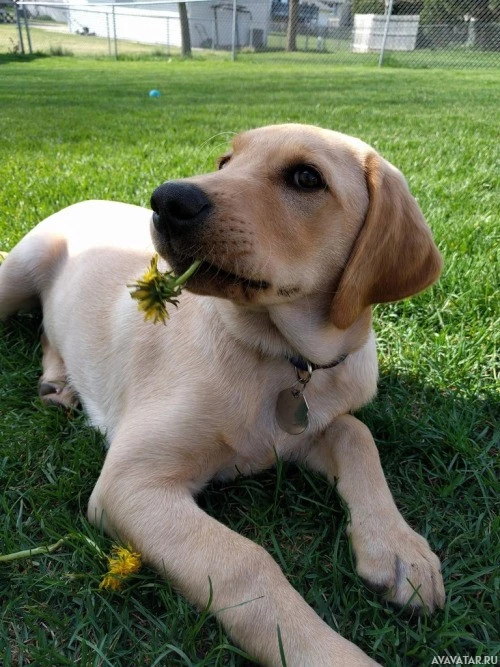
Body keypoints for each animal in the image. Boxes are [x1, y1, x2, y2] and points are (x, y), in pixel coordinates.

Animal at [0, 124, 444, 666]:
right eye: (224, 161)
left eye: (306, 178)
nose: (167, 199)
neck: (280, 356)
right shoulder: (129, 484)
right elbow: (244, 561)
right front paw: (325, 652)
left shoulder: (305, 427)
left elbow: (357, 435)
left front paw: (402, 550)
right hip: (16, 274)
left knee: (49, 328)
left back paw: (60, 384)